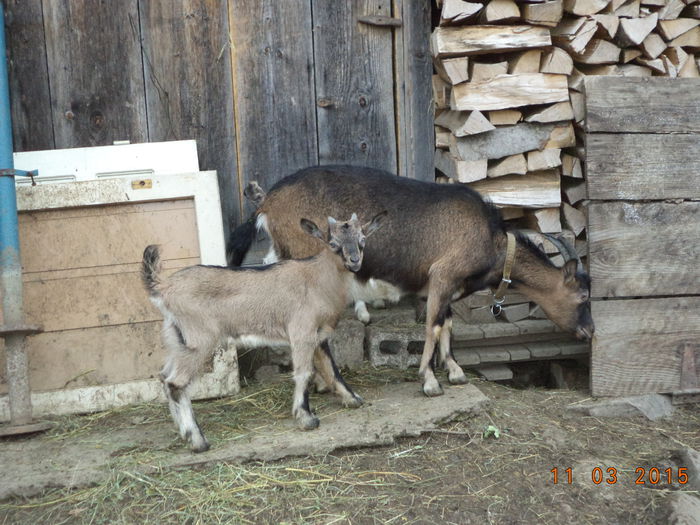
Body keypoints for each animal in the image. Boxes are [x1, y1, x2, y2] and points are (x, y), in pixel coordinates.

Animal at [228, 166, 592, 396]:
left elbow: (446, 323)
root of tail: (268, 202)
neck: (493, 241)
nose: (589, 331)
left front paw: (454, 371)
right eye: (583, 296)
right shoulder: (443, 273)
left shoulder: (448, 285)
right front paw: (429, 380)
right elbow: (432, 326)